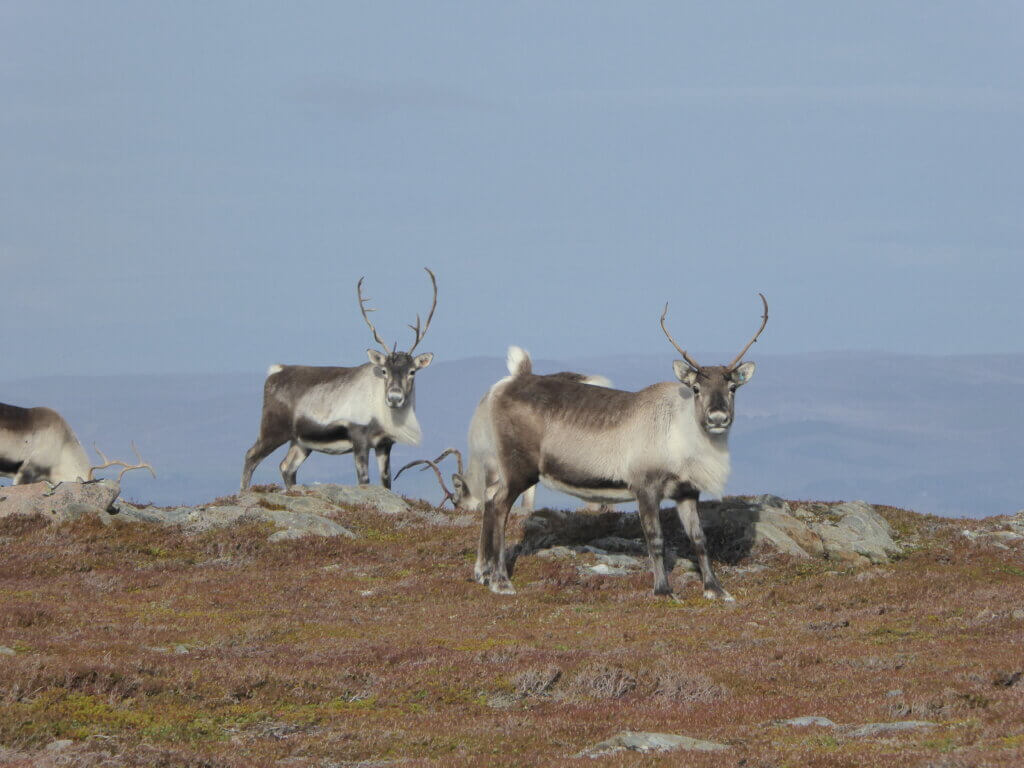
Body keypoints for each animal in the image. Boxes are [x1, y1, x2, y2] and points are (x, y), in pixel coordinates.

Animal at [240, 268, 438, 491]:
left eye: (412, 371)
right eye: (384, 370)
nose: (394, 397)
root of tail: (276, 371)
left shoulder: (385, 444)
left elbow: (386, 482)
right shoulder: (359, 438)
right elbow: (364, 480)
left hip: (301, 442)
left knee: (286, 466)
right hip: (272, 429)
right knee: (251, 456)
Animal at [471, 295, 768, 600]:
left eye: (733, 388)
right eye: (696, 388)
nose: (718, 418)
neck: (680, 433)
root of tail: (501, 387)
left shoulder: (687, 491)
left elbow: (699, 539)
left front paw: (715, 589)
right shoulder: (645, 487)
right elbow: (655, 539)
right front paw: (663, 590)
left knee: (489, 497)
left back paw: (482, 572)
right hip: (519, 467)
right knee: (498, 505)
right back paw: (501, 581)